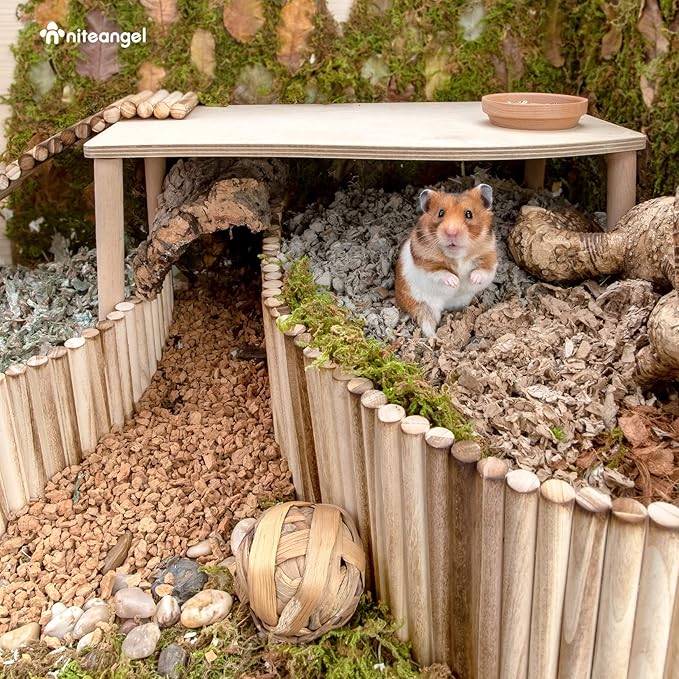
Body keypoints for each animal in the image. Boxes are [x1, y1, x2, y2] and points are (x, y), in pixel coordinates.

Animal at [395, 184, 497, 338]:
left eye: (469, 214)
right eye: (440, 213)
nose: (451, 232)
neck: (457, 256)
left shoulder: (490, 259)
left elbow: (483, 271)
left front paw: (473, 279)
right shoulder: (426, 266)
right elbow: (441, 273)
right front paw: (455, 282)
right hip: (422, 306)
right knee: (427, 325)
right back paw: (437, 339)